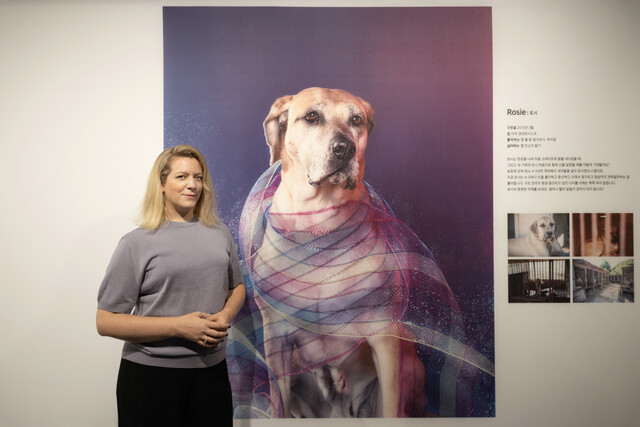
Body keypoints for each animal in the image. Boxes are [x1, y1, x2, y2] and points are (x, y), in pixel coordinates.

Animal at [258, 87, 428, 418]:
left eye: (356, 120)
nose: (345, 149)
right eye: (312, 116)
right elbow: (277, 405)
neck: (320, 228)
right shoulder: (276, 342)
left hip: (412, 364)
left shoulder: (384, 339)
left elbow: (391, 406)